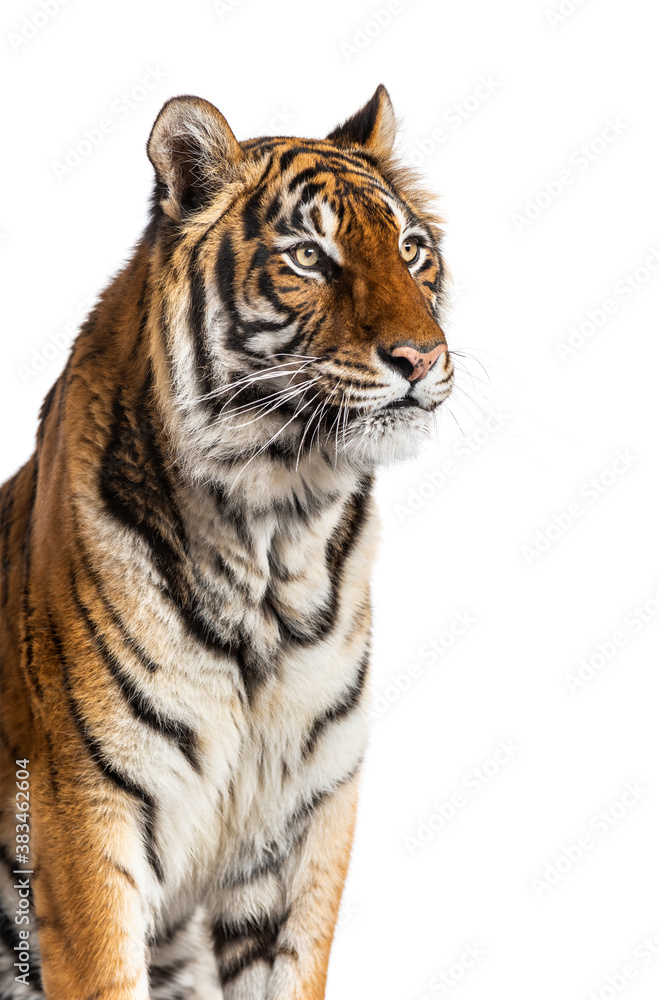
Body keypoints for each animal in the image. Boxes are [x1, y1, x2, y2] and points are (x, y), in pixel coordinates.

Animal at [0, 84, 453, 999]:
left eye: (411, 249)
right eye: (309, 256)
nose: (422, 357)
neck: (279, 532)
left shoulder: (300, 831)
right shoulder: (82, 826)